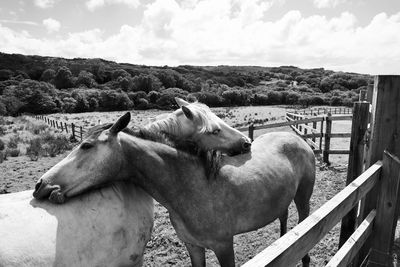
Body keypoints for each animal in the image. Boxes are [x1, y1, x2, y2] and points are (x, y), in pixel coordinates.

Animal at [33, 113, 316, 267]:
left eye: (87, 146)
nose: (41, 185)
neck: (195, 187)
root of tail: (298, 139)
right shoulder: (194, 247)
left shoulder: (224, 247)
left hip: (303, 199)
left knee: (306, 223)